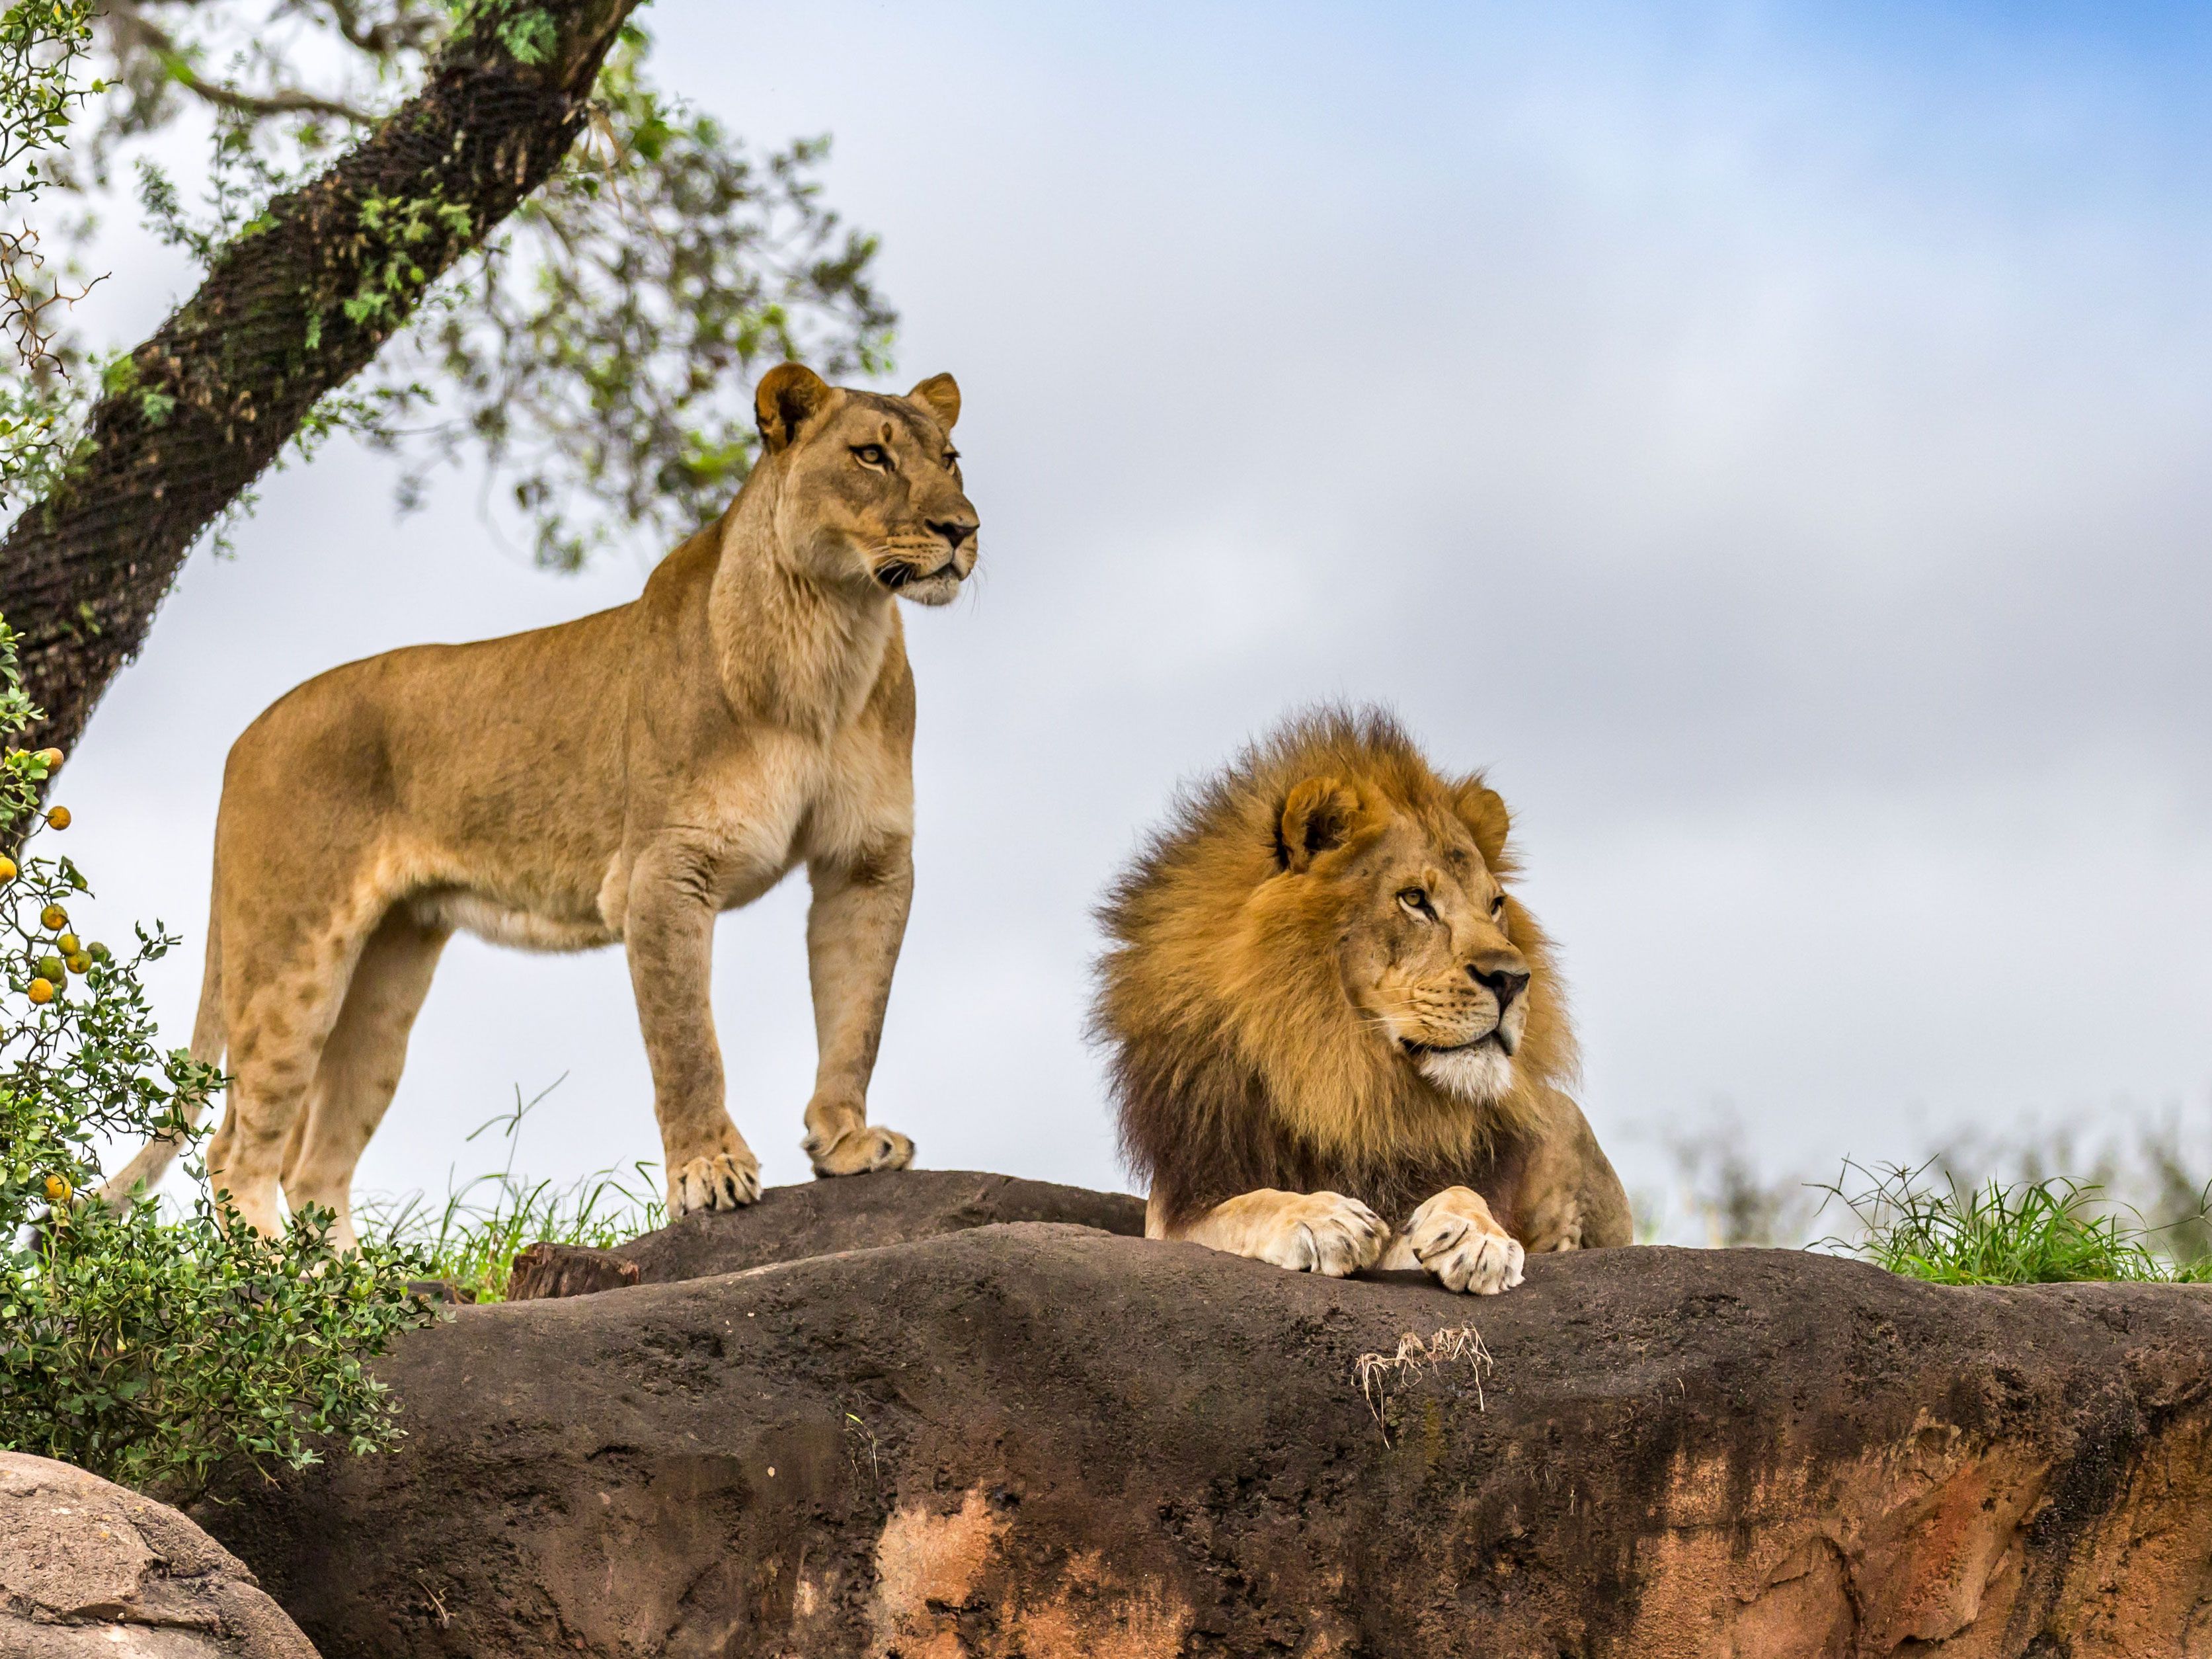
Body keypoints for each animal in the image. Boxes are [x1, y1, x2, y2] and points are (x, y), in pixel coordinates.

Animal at [101, 364, 978, 1249]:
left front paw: (846, 1140)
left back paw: (347, 1278)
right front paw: (709, 1171)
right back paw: (280, 1275)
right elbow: (687, 1040)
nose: (963, 529)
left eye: (949, 457)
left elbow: (857, 1012)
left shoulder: (868, 860)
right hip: (291, 956)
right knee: (239, 1148)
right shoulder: (665, 868)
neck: (831, 636)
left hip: (385, 977)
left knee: (311, 1162)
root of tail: (243, 739)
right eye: (870, 455)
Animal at [1092, 708, 1630, 1294]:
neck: (1353, 1076)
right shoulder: (1176, 1211)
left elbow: (1461, 1197)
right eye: (1414, 898)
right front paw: (1320, 1216)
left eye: (1495, 904)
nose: (1512, 980)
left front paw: (1474, 1233)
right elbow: (1248, 1205)